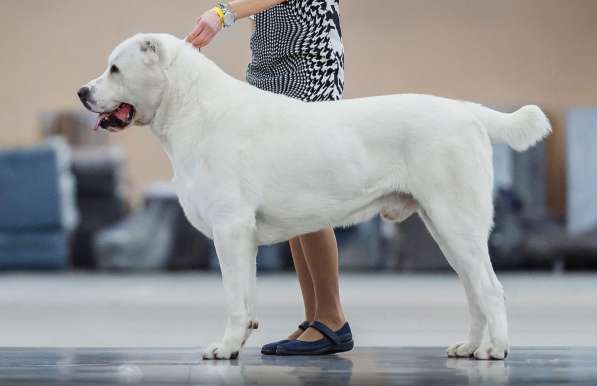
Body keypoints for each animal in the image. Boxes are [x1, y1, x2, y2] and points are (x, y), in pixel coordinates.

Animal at [78, 33, 548, 358]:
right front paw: (241, 342)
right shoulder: (243, 237)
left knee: (490, 290)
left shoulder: (229, 229)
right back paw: (469, 347)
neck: (190, 106)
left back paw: (495, 350)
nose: (81, 92)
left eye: (115, 69)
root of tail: (465, 110)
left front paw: (224, 348)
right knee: (474, 291)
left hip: (456, 222)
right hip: (446, 228)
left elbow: (233, 299)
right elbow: (246, 295)